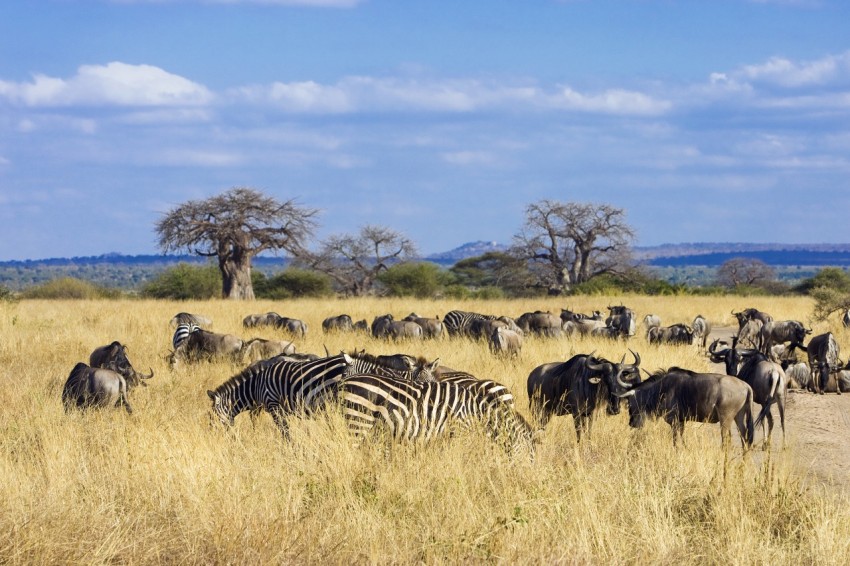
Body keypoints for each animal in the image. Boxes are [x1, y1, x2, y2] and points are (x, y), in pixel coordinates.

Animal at [206, 352, 352, 438]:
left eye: (212, 415)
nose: (212, 435)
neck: (255, 387)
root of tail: (347, 361)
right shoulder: (282, 409)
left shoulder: (273, 405)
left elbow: (284, 430)